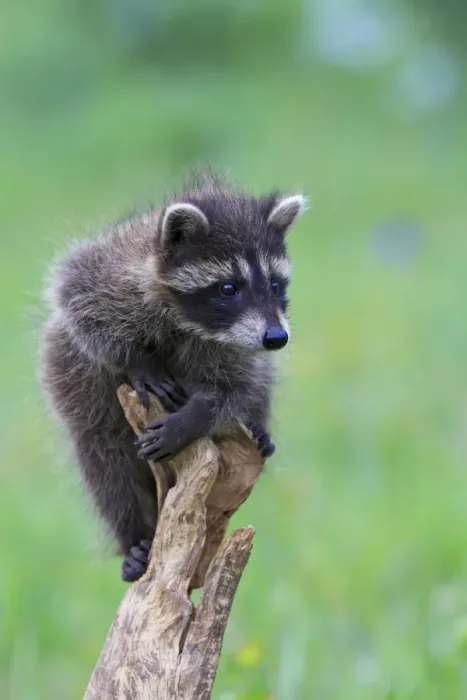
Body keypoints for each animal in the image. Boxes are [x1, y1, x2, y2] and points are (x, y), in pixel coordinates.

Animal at [40, 172, 307, 582]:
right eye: (228, 288)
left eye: (276, 285)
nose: (277, 338)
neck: (187, 320)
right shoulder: (111, 270)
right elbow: (75, 296)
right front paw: (136, 361)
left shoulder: (236, 345)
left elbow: (239, 386)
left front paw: (194, 418)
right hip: (73, 379)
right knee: (106, 463)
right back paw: (133, 536)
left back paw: (256, 424)